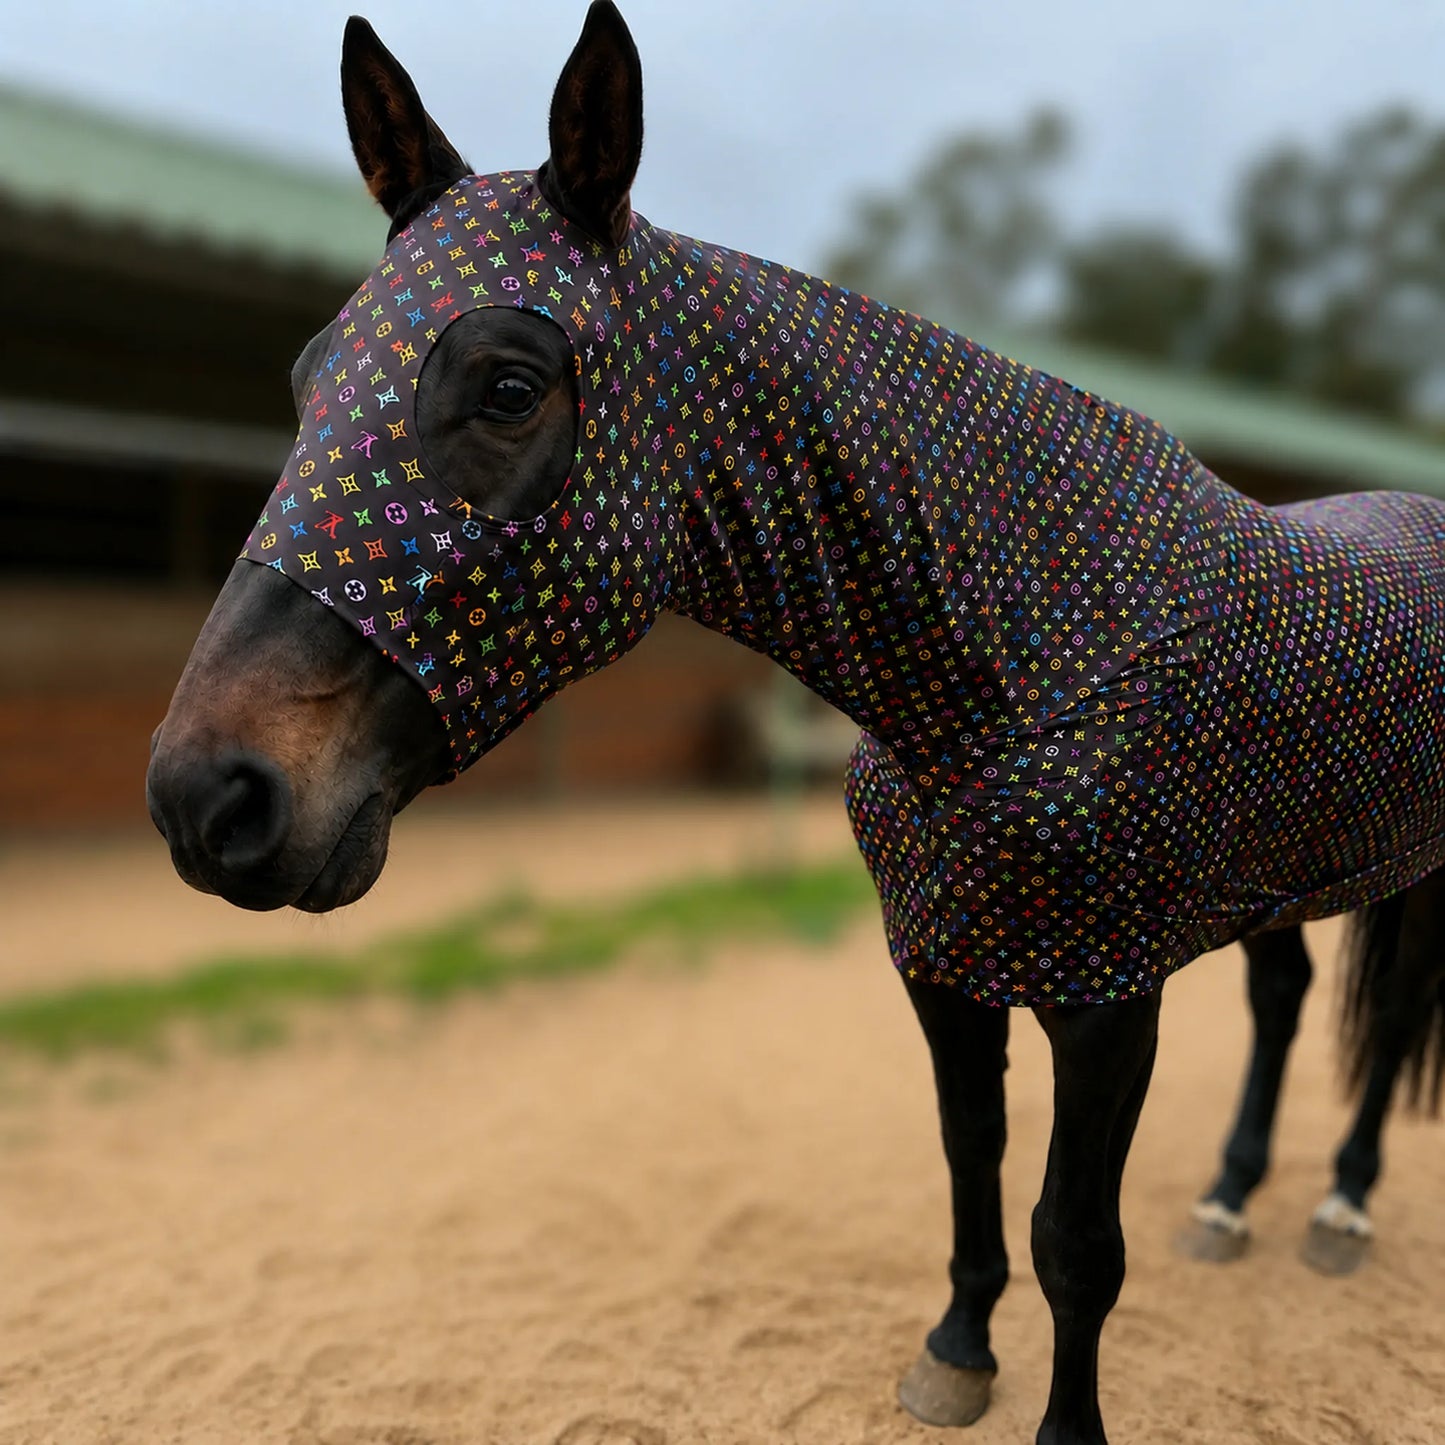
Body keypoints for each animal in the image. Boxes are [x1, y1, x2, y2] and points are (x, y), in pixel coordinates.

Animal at [145, 6, 1445, 1441]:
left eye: (507, 385)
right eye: (307, 375)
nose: (208, 795)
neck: (1020, 657)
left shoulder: (1108, 999)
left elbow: (1074, 1240)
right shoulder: (944, 966)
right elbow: (970, 1159)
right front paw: (954, 1353)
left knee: (1389, 1016)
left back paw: (1341, 1205)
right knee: (1284, 999)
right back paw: (1229, 1200)